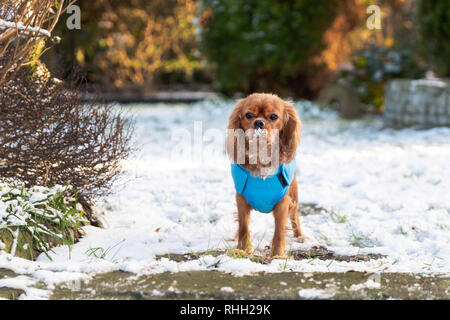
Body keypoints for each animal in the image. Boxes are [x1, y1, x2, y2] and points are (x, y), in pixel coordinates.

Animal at [227, 92, 308, 258]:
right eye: (248, 115)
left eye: (273, 117)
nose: (258, 122)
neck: (260, 155)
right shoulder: (241, 200)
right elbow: (243, 227)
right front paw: (242, 250)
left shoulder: (283, 203)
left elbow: (279, 231)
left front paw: (277, 254)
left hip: (294, 194)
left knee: (295, 216)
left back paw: (300, 237)